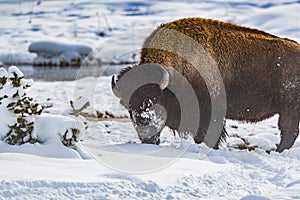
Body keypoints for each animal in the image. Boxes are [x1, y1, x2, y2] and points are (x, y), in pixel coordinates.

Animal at [112, 17, 300, 152]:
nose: (146, 135)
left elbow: (207, 135)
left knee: (288, 131)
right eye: (129, 106)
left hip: (288, 108)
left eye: (155, 100)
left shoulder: (208, 112)